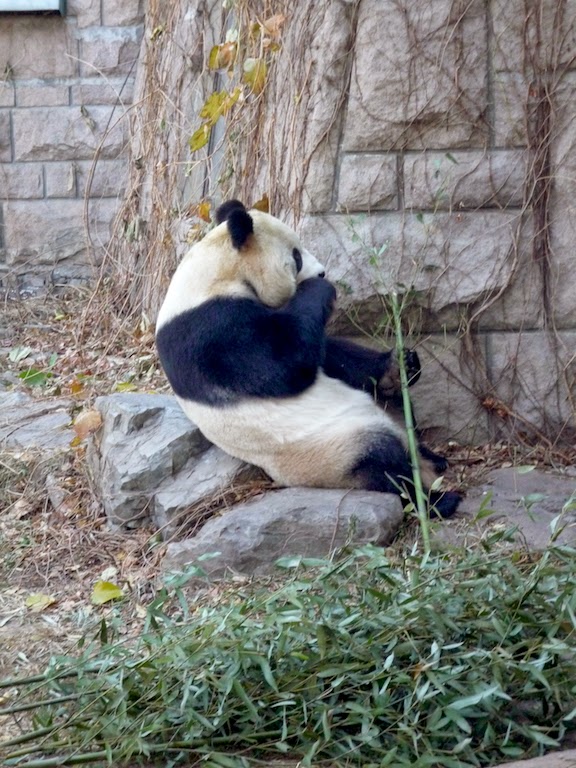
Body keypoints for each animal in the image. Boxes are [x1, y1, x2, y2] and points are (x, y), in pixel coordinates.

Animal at [155, 200, 461, 518]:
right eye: (296, 256)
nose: (323, 273)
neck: (216, 271)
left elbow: (328, 354)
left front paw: (397, 365)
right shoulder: (209, 331)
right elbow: (282, 365)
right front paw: (318, 288)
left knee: (400, 410)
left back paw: (431, 452)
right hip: (332, 450)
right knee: (384, 464)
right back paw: (437, 499)